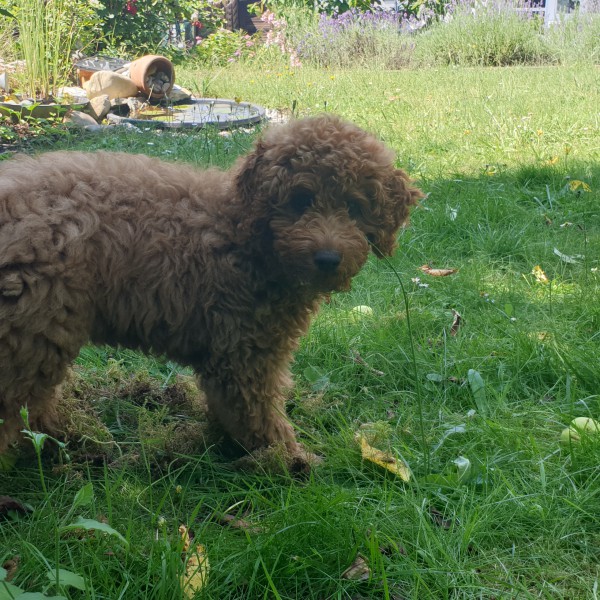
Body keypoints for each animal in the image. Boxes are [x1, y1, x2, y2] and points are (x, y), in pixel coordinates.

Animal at [0, 115, 422, 469]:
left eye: (354, 206)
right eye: (300, 200)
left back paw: (68, 440)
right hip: (33, 329)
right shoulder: (244, 352)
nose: (328, 259)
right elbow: (258, 413)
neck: (247, 236)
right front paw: (288, 461)